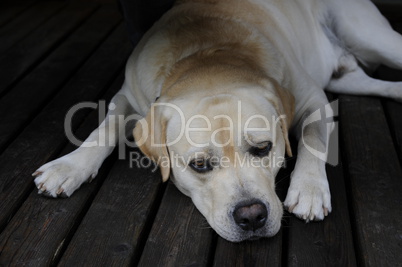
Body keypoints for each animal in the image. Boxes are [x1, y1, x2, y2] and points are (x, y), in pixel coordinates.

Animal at [33, 0, 402, 243]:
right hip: (348, 77)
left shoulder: (313, 99)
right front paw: (68, 167)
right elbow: (104, 128)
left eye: (263, 148)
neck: (206, 54)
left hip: (368, 34)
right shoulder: (128, 95)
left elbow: (314, 138)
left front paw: (309, 188)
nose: (251, 216)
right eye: (199, 165)